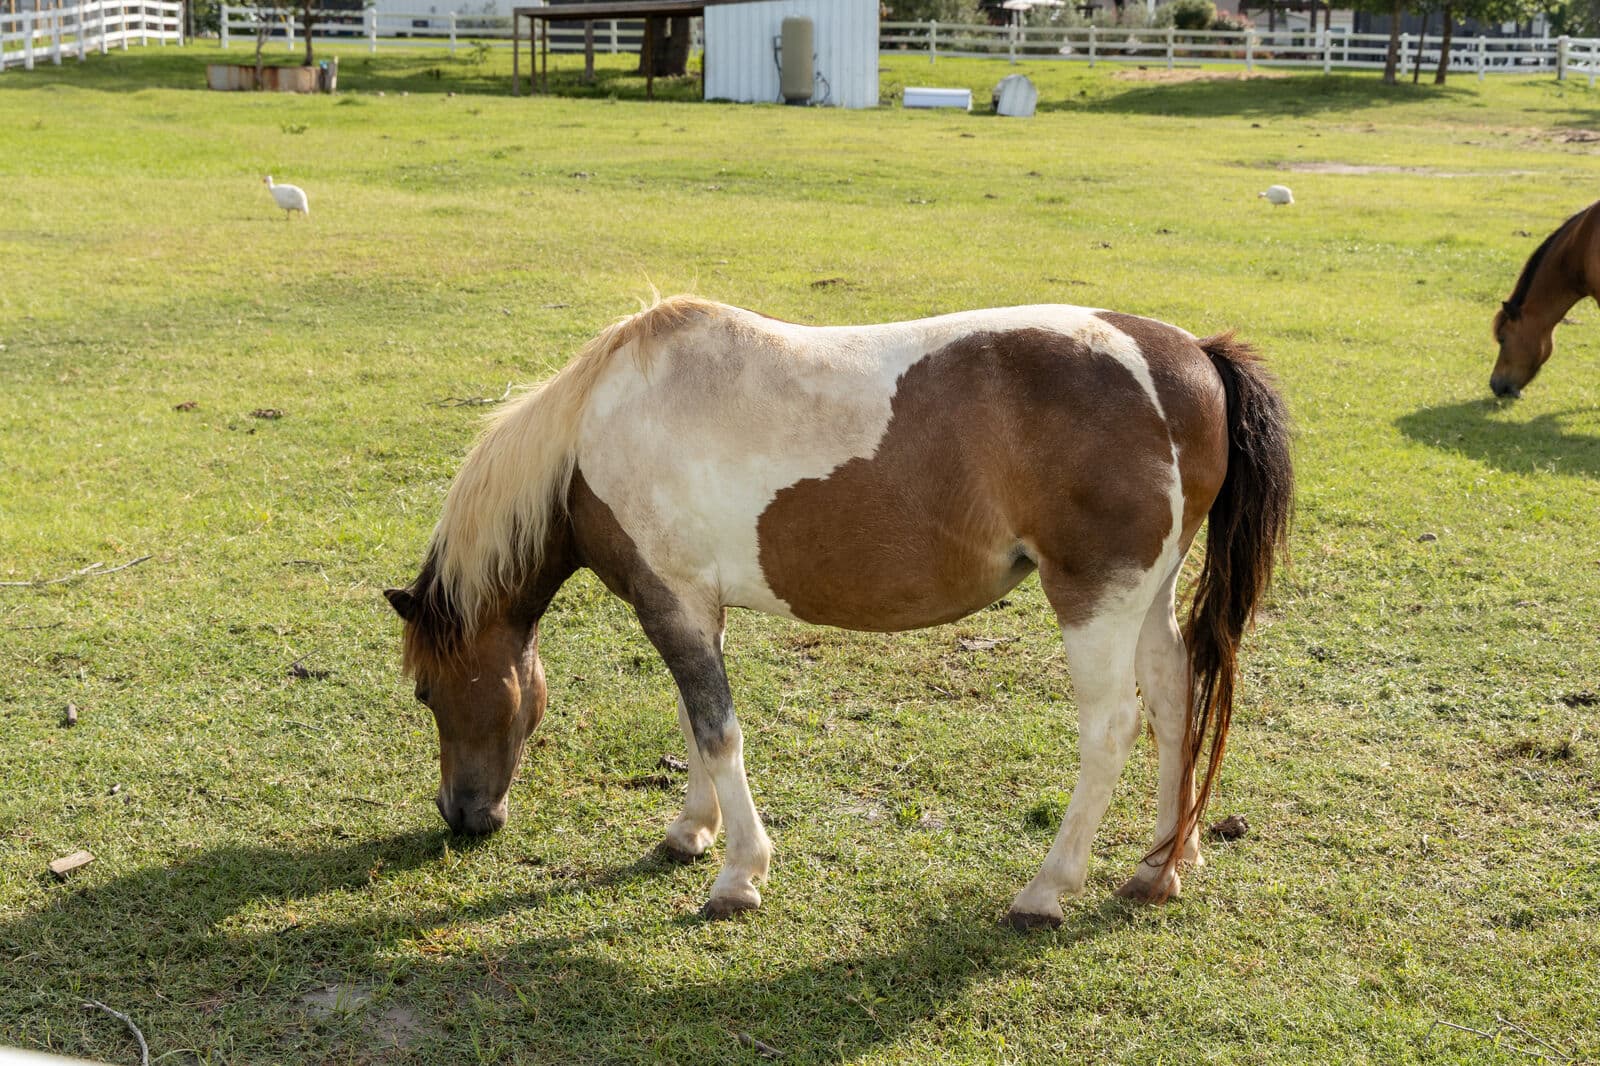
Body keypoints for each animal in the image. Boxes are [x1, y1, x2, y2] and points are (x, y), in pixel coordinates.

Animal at [385, 296, 1293, 930]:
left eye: (428, 694)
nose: (463, 817)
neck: (596, 433)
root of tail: (1192, 358)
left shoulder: (673, 599)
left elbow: (717, 732)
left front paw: (739, 875)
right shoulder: (686, 605)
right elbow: (692, 722)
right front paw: (691, 832)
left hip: (1094, 600)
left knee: (1111, 731)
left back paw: (1045, 890)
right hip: (1149, 595)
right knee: (1176, 698)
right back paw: (1163, 865)